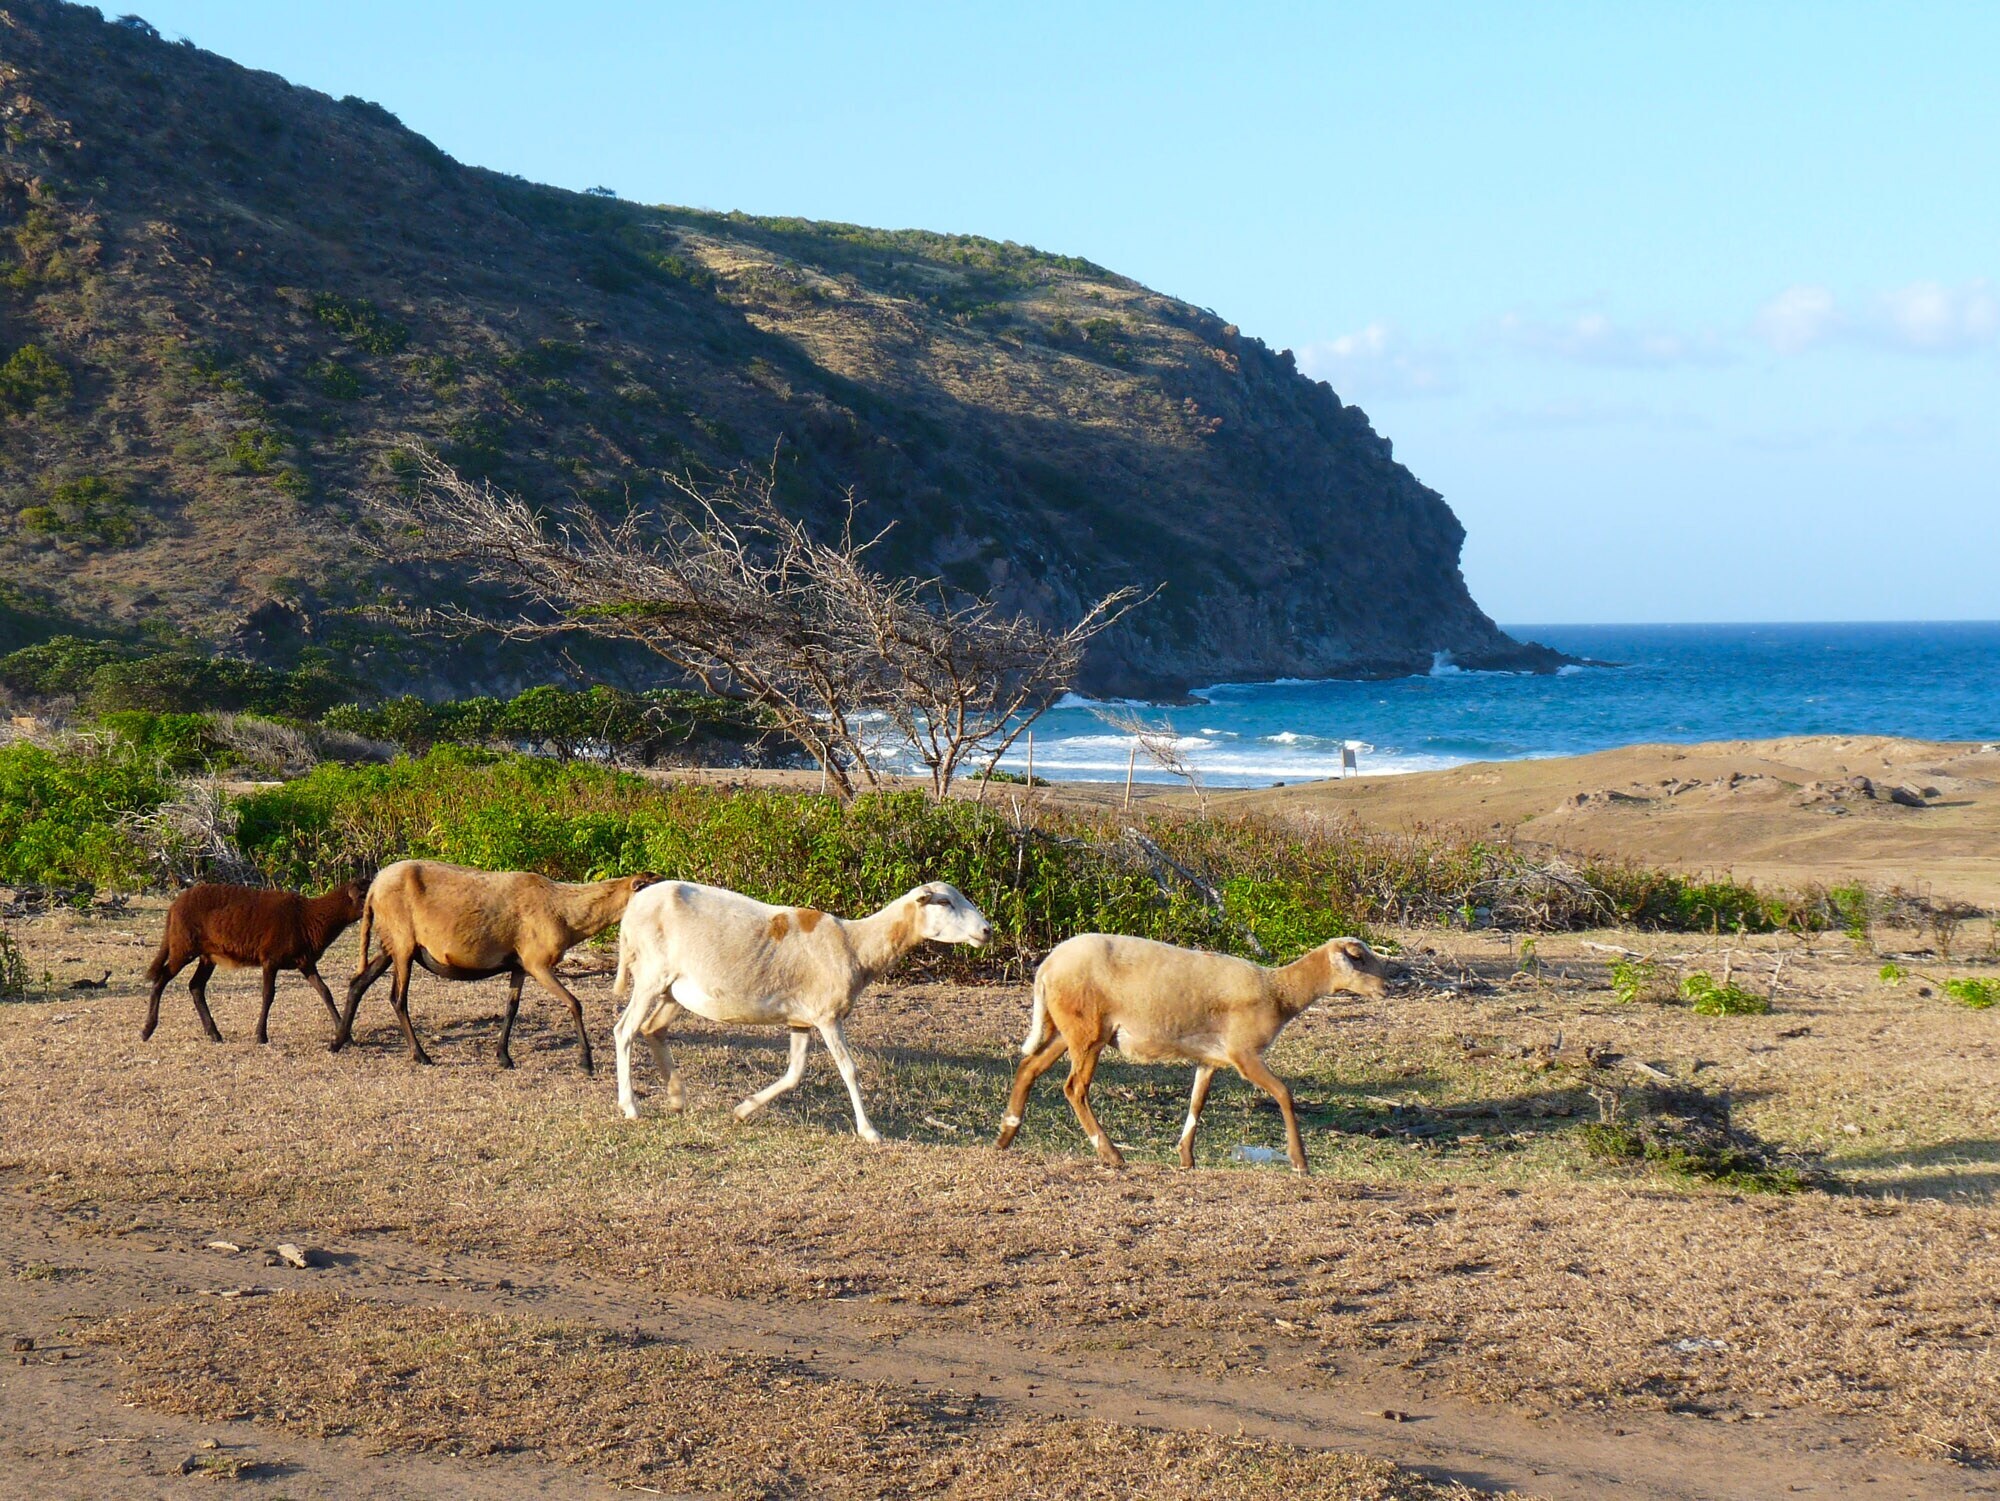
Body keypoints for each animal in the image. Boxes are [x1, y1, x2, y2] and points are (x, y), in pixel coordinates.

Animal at [142, 879, 370, 1044]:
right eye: (362, 895)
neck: (309, 917)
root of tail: (173, 907)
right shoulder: (270, 959)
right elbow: (267, 995)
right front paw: (261, 1036)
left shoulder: (305, 962)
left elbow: (325, 992)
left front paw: (346, 1036)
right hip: (183, 946)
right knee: (162, 978)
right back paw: (147, 1030)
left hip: (208, 955)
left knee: (195, 986)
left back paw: (214, 1034)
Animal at [335, 861, 659, 1072]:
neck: (566, 912)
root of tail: (375, 887)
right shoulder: (537, 962)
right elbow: (574, 1003)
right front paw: (586, 1063)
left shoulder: (519, 965)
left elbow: (511, 1008)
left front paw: (504, 1057)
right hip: (402, 943)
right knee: (397, 998)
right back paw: (421, 1055)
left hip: (389, 944)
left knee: (358, 983)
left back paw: (338, 1041)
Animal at [611, 881, 992, 1142]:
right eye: (945, 901)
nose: (987, 930)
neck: (857, 945)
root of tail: (633, 907)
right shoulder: (827, 1015)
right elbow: (849, 1070)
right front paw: (869, 1131)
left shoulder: (801, 1020)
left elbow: (794, 1074)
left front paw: (743, 1110)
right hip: (650, 975)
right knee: (625, 1031)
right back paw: (630, 1106)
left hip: (675, 990)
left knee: (652, 1029)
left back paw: (677, 1097)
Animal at [995, 933, 1394, 1172]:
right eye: (1357, 957)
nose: (1388, 988)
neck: (1280, 991)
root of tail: (1046, 967)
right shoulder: (1243, 1053)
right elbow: (1283, 1093)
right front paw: (1300, 1161)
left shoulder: (1211, 1058)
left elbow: (1197, 1103)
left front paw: (1186, 1156)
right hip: (1088, 1030)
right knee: (1074, 1088)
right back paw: (1110, 1153)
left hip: (1071, 1029)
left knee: (1029, 1067)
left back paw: (1006, 1135)